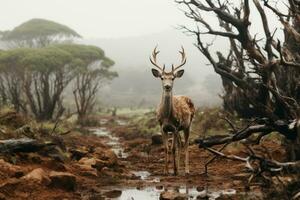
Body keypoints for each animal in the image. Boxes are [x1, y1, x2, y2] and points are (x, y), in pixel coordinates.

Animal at [149, 46, 196, 175]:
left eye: (173, 78)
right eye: (162, 77)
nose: (167, 86)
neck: (167, 117)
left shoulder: (175, 126)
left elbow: (173, 148)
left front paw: (174, 171)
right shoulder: (162, 127)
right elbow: (166, 148)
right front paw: (166, 171)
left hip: (188, 124)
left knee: (186, 144)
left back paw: (186, 170)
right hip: (180, 128)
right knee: (180, 144)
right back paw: (179, 168)